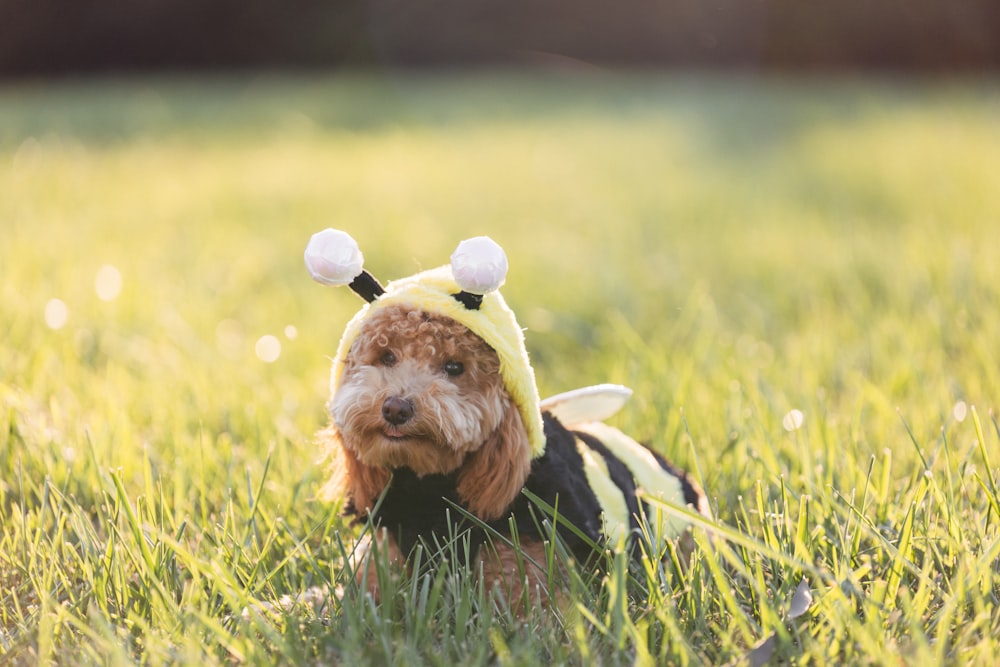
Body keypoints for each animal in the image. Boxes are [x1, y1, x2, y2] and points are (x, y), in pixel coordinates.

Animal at [304, 231, 712, 612]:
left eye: (455, 367)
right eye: (386, 356)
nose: (395, 408)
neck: (430, 486)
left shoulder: (527, 565)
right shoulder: (383, 557)